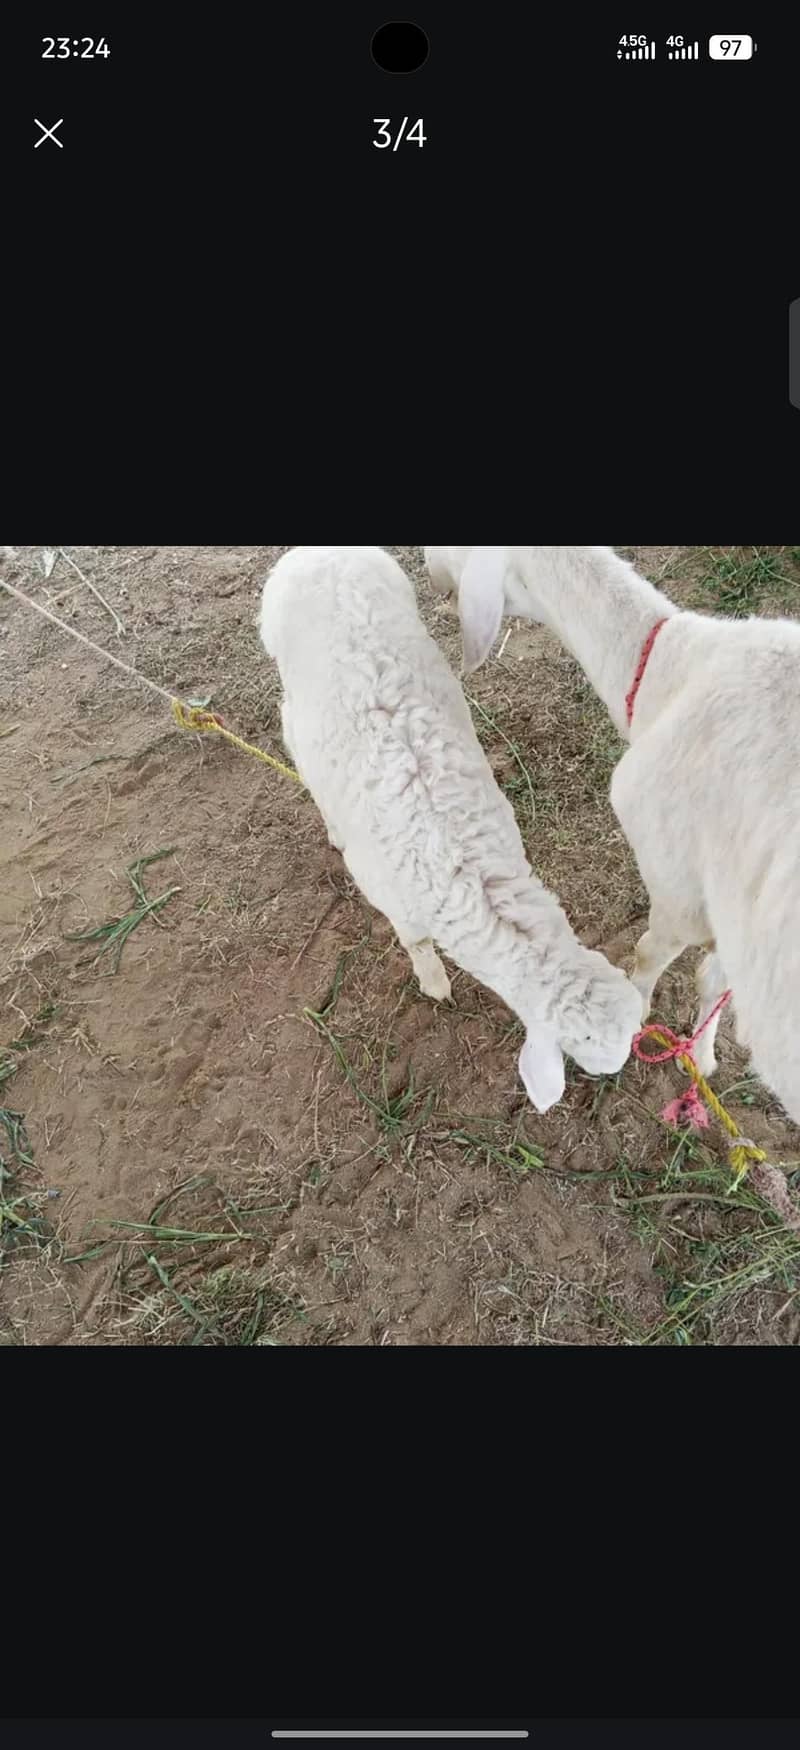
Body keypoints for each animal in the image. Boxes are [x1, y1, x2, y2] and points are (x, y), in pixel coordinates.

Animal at [260, 546, 643, 1114]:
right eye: (588, 1052)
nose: (618, 1076)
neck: (465, 867)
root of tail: (316, 554)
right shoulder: (392, 897)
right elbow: (416, 942)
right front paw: (434, 982)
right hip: (289, 682)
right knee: (291, 735)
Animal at [425, 545, 800, 1126]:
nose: (426, 566)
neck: (672, 668)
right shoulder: (726, 899)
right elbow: (715, 979)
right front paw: (703, 1056)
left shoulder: (675, 881)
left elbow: (649, 957)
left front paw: (640, 1017)